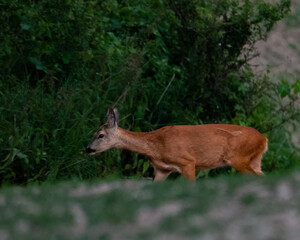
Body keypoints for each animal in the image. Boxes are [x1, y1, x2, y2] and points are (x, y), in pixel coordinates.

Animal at [86, 108, 268, 180]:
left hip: (238, 158)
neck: (156, 146)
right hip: (254, 160)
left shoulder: (187, 161)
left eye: (100, 135)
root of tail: (264, 139)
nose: (88, 148)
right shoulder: (162, 169)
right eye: (94, 133)